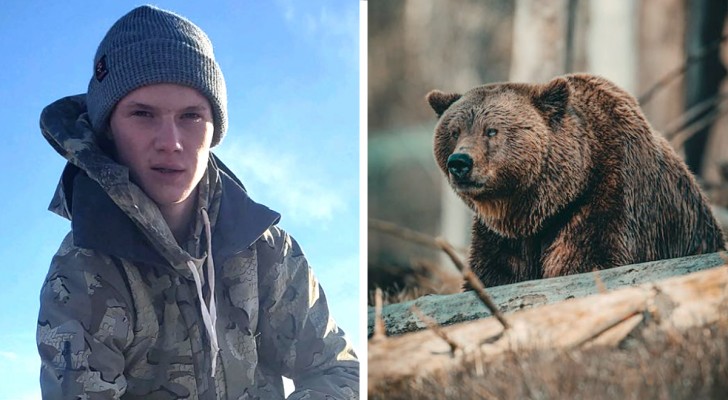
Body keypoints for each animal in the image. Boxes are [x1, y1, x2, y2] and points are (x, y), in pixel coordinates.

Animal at [430, 74, 724, 288]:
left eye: (491, 130)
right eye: (454, 131)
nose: (460, 162)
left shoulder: (608, 195)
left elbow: (588, 259)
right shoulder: (502, 236)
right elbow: (493, 272)